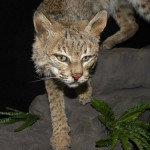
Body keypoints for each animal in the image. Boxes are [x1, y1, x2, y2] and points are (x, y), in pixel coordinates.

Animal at [33, 0, 150, 149]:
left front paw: (85, 91)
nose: (76, 76)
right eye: (62, 58)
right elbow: (55, 103)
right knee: (132, 25)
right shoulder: (50, 72)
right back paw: (108, 42)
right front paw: (60, 137)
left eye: (86, 58)